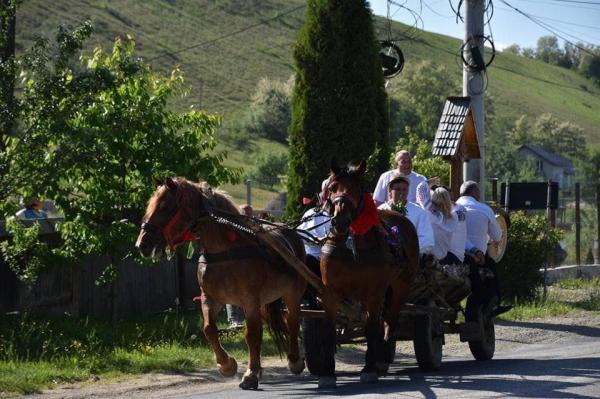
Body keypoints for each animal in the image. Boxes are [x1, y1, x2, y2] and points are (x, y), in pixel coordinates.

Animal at [134, 178, 308, 390]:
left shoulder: (249, 300)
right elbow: (209, 329)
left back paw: (294, 360)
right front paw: (227, 365)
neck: (225, 252)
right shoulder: (210, 298)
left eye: (165, 206)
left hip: (293, 292)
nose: (142, 244)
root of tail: (290, 231)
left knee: (292, 321)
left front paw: (250, 374)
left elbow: (251, 334)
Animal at [318, 161, 418, 390]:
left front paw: (369, 369)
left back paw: (382, 359)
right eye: (333, 187)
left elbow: (372, 326)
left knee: (389, 320)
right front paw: (327, 372)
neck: (350, 245)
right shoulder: (329, 292)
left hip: (400, 287)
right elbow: (328, 329)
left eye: (356, 188)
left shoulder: (374, 291)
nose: (340, 220)